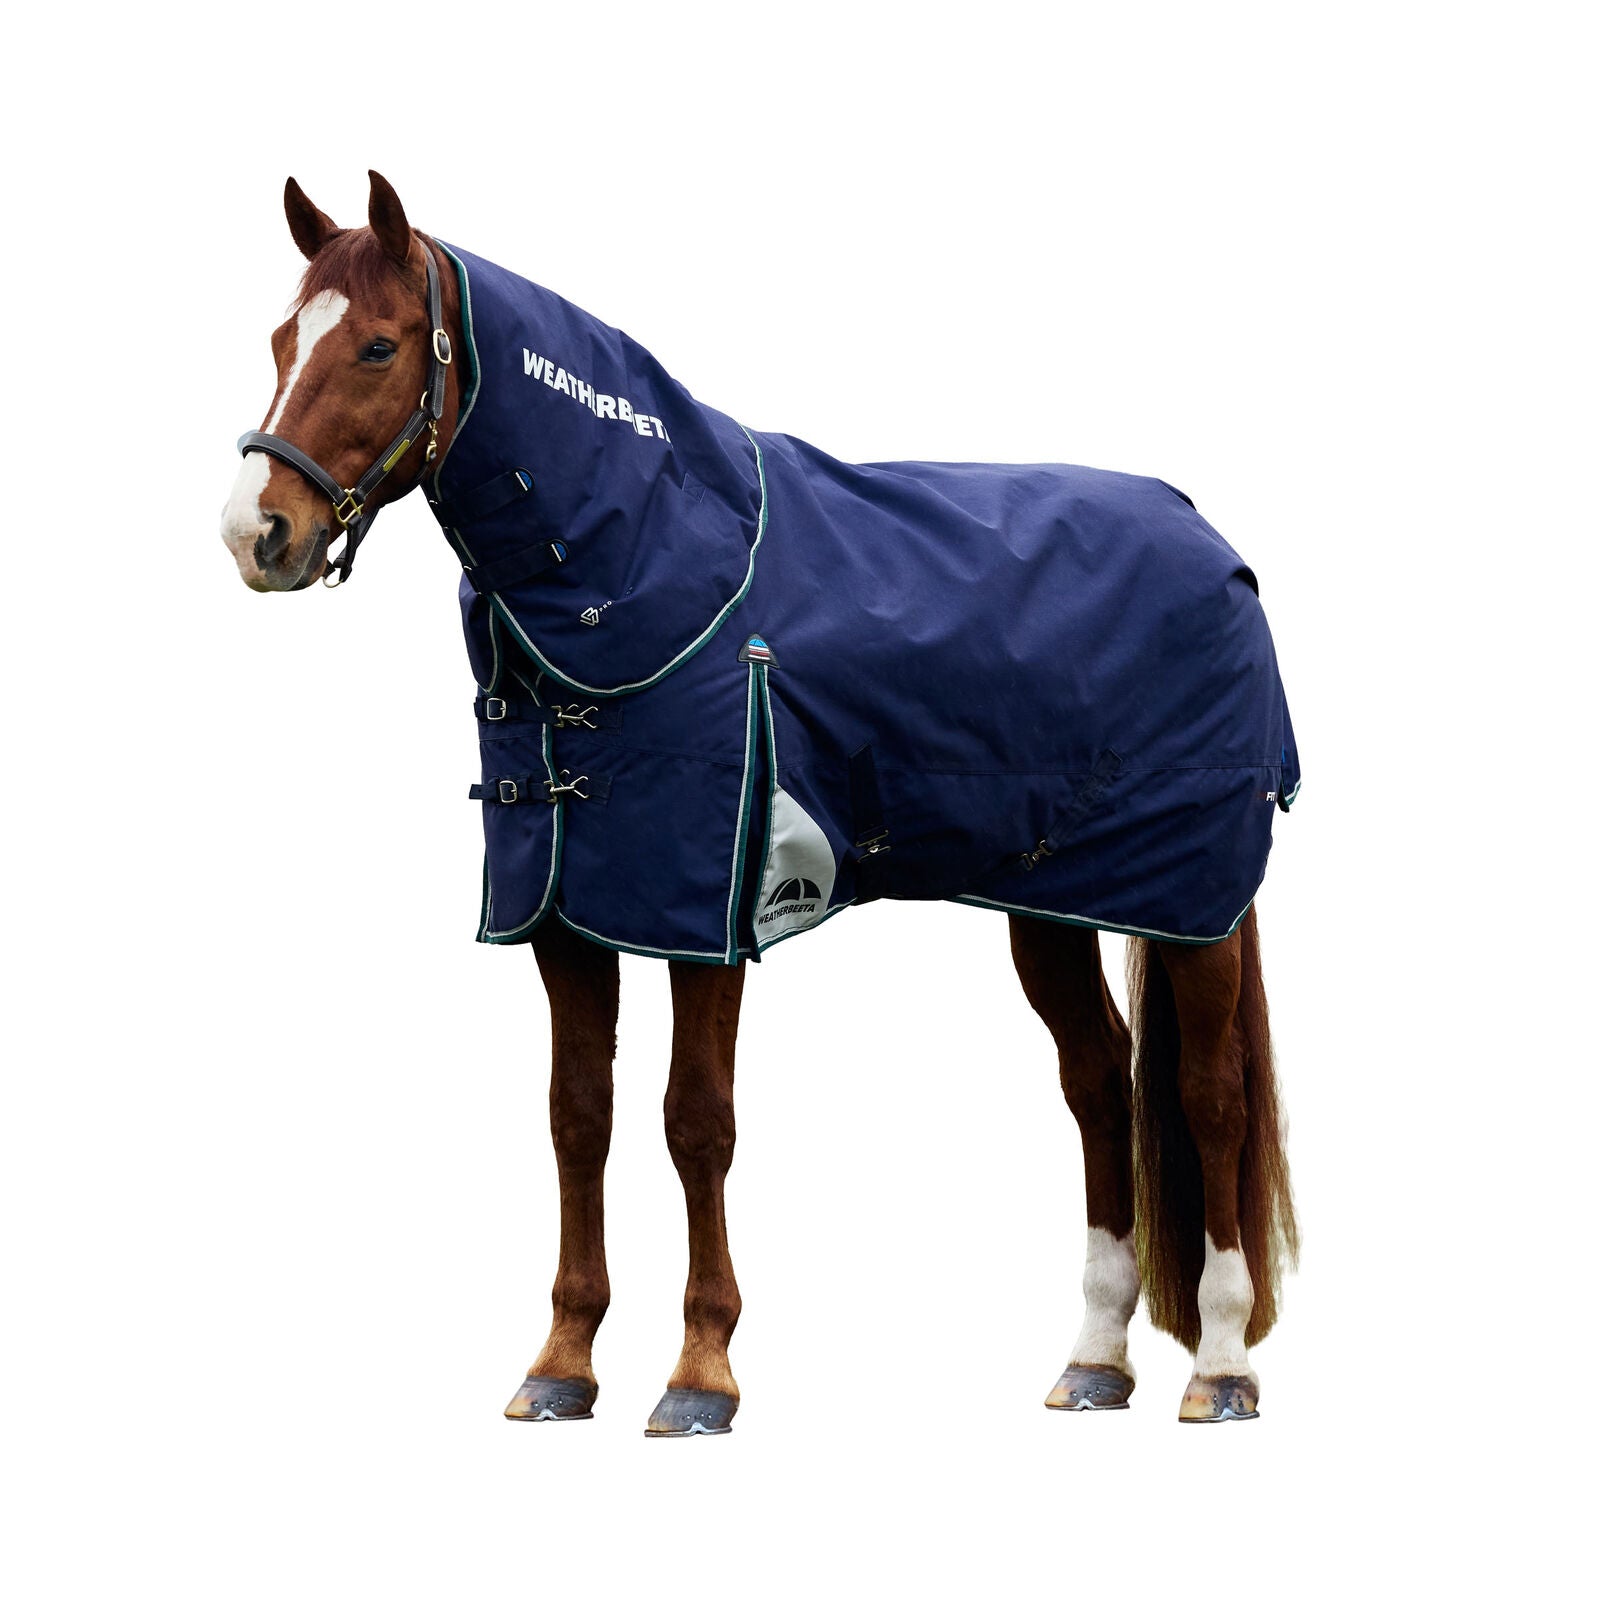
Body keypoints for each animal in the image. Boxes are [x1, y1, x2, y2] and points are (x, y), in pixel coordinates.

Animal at [219, 171, 1299, 1433]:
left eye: (381, 345)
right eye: (282, 339)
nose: (257, 533)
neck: (652, 559)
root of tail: (1209, 540)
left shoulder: (706, 912)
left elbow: (696, 1120)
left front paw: (699, 1372)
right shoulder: (567, 909)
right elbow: (578, 1115)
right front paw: (562, 1362)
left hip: (1194, 905)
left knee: (1208, 1092)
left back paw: (1221, 1365)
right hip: (1052, 902)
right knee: (1097, 1082)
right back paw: (1092, 1362)